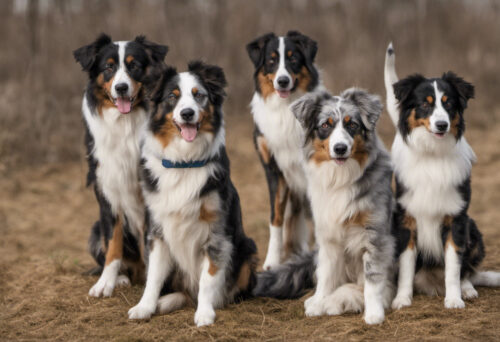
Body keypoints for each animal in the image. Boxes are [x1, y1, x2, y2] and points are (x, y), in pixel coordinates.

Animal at [73, 34, 168, 296]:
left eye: (134, 66)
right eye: (108, 67)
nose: (121, 87)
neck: (125, 123)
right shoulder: (107, 187)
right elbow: (113, 241)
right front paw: (106, 282)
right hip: (94, 231)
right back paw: (122, 278)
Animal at [127, 60, 258, 326]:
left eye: (199, 96)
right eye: (172, 96)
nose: (187, 113)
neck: (184, 163)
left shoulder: (217, 234)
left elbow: (209, 278)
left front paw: (205, 313)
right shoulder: (157, 230)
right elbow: (153, 276)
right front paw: (144, 307)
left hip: (247, 249)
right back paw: (163, 302)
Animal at [247, 30, 324, 270]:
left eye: (294, 58)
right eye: (271, 60)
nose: (282, 81)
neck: (285, 109)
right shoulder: (273, 170)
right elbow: (276, 218)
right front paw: (271, 262)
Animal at [256, 87, 396, 324]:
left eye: (352, 124)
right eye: (325, 125)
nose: (340, 148)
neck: (341, 178)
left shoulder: (375, 235)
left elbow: (372, 278)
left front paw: (374, 313)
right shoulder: (328, 233)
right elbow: (326, 272)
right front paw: (318, 301)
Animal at [384, 42, 498, 310]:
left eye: (448, 104)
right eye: (425, 104)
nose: (442, 125)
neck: (432, 154)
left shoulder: (455, 218)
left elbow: (454, 268)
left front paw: (454, 298)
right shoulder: (407, 219)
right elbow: (406, 267)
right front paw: (402, 299)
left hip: (472, 228)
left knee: (466, 271)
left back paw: (467, 289)